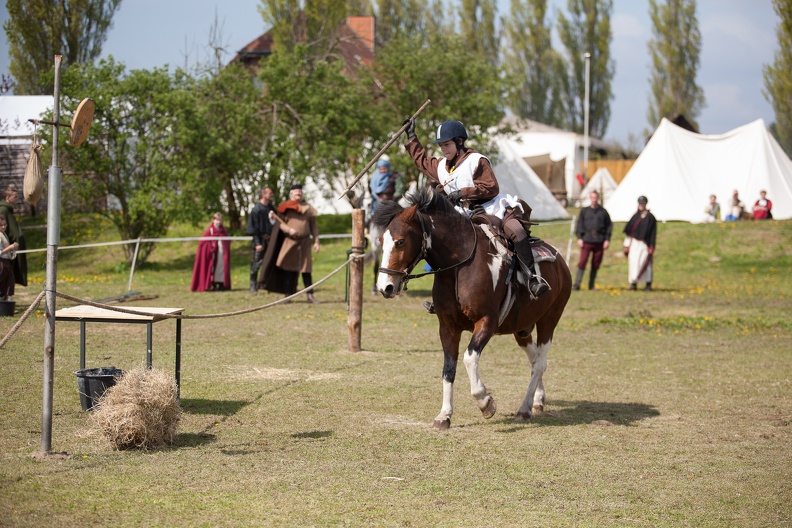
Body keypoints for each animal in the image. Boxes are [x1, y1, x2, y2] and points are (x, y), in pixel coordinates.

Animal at [372, 189, 568, 428]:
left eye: (400, 241)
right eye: (380, 240)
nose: (385, 287)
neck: (458, 268)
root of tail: (560, 261)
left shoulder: (486, 322)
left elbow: (468, 358)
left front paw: (485, 402)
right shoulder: (447, 327)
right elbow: (448, 368)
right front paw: (444, 415)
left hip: (549, 320)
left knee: (540, 363)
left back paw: (524, 408)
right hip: (521, 328)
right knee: (534, 359)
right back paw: (537, 400)